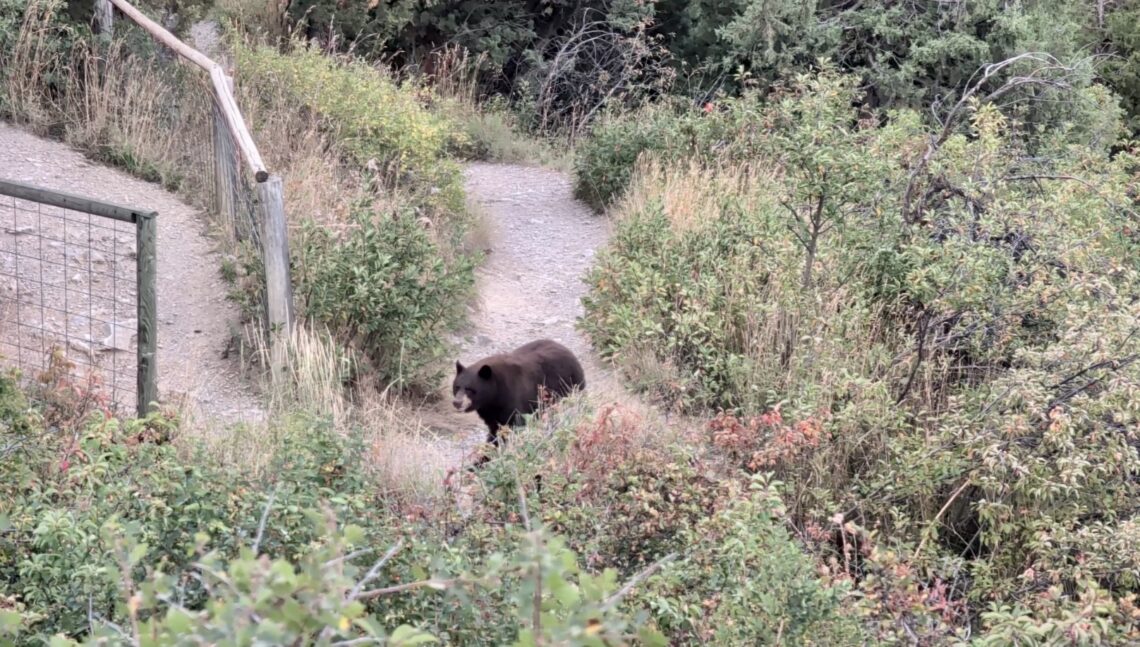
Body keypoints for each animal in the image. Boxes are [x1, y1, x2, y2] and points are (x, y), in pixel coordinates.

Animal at [452, 338, 586, 450]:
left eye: (470, 389)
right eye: (457, 387)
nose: (457, 402)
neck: (493, 395)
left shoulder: (512, 398)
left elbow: (514, 425)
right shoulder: (491, 412)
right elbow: (495, 430)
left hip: (569, 389)